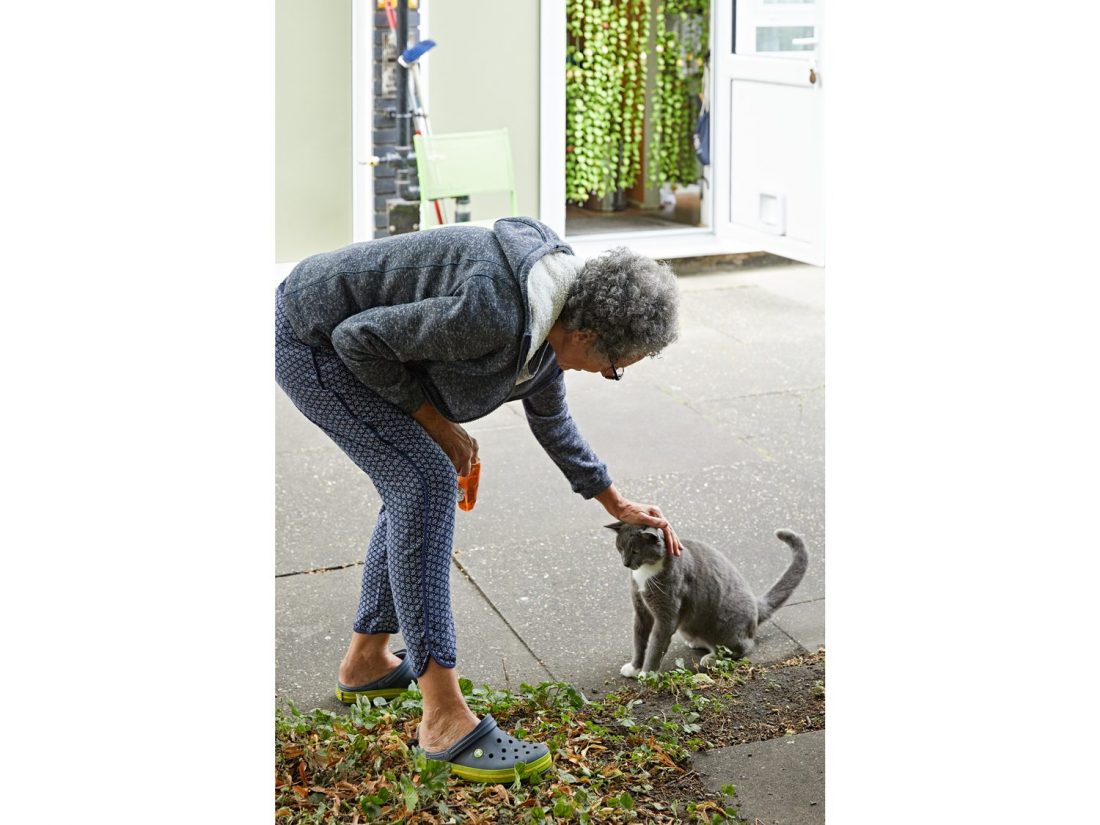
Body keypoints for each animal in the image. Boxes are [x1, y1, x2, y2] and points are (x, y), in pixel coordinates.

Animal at [611, 523, 809, 677]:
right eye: (620, 549)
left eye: (635, 551)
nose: (625, 563)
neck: (645, 573)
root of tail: (756, 606)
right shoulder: (640, 610)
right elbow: (639, 640)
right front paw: (634, 668)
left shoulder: (666, 615)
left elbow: (655, 646)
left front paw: (647, 674)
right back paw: (696, 642)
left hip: (724, 625)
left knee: (744, 647)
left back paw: (711, 658)